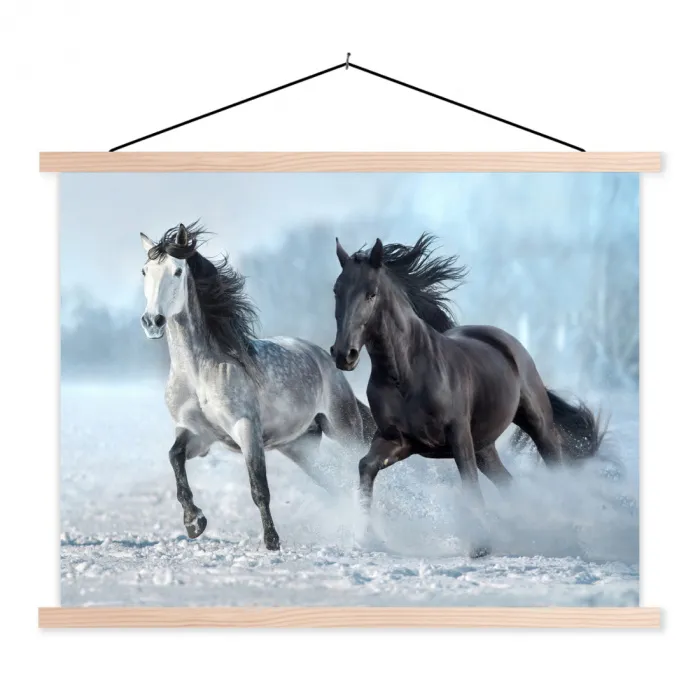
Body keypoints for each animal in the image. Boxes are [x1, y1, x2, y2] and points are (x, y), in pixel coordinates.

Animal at [139, 222, 375, 550]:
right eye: (145, 271)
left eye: (176, 271)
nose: (153, 321)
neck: (199, 373)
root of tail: (324, 358)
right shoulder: (197, 434)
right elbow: (175, 458)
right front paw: (194, 522)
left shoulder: (246, 429)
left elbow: (259, 487)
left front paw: (272, 541)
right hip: (299, 447)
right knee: (335, 485)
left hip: (344, 429)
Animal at [330, 233, 605, 557]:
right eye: (336, 291)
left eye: (371, 294)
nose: (344, 354)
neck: (406, 374)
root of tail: (505, 341)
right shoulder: (398, 440)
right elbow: (366, 466)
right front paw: (366, 536)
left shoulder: (458, 435)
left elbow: (469, 483)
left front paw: (481, 546)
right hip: (484, 446)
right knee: (508, 483)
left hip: (537, 425)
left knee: (554, 466)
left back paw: (567, 535)